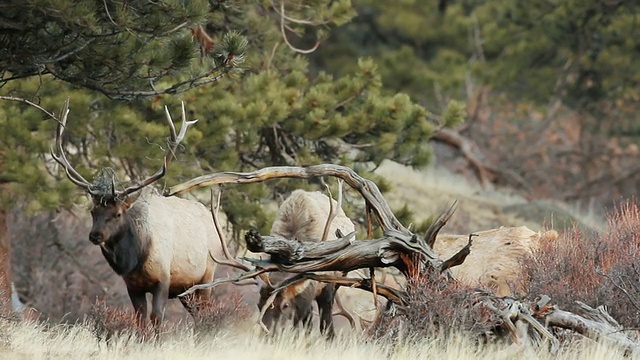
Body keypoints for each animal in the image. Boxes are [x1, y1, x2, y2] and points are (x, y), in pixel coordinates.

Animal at [51, 101, 224, 326]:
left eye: (117, 214)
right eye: (92, 211)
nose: (95, 235)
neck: (136, 258)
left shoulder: (164, 279)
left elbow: (156, 317)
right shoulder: (133, 286)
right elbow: (140, 320)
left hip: (207, 275)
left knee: (206, 313)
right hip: (187, 290)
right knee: (198, 314)